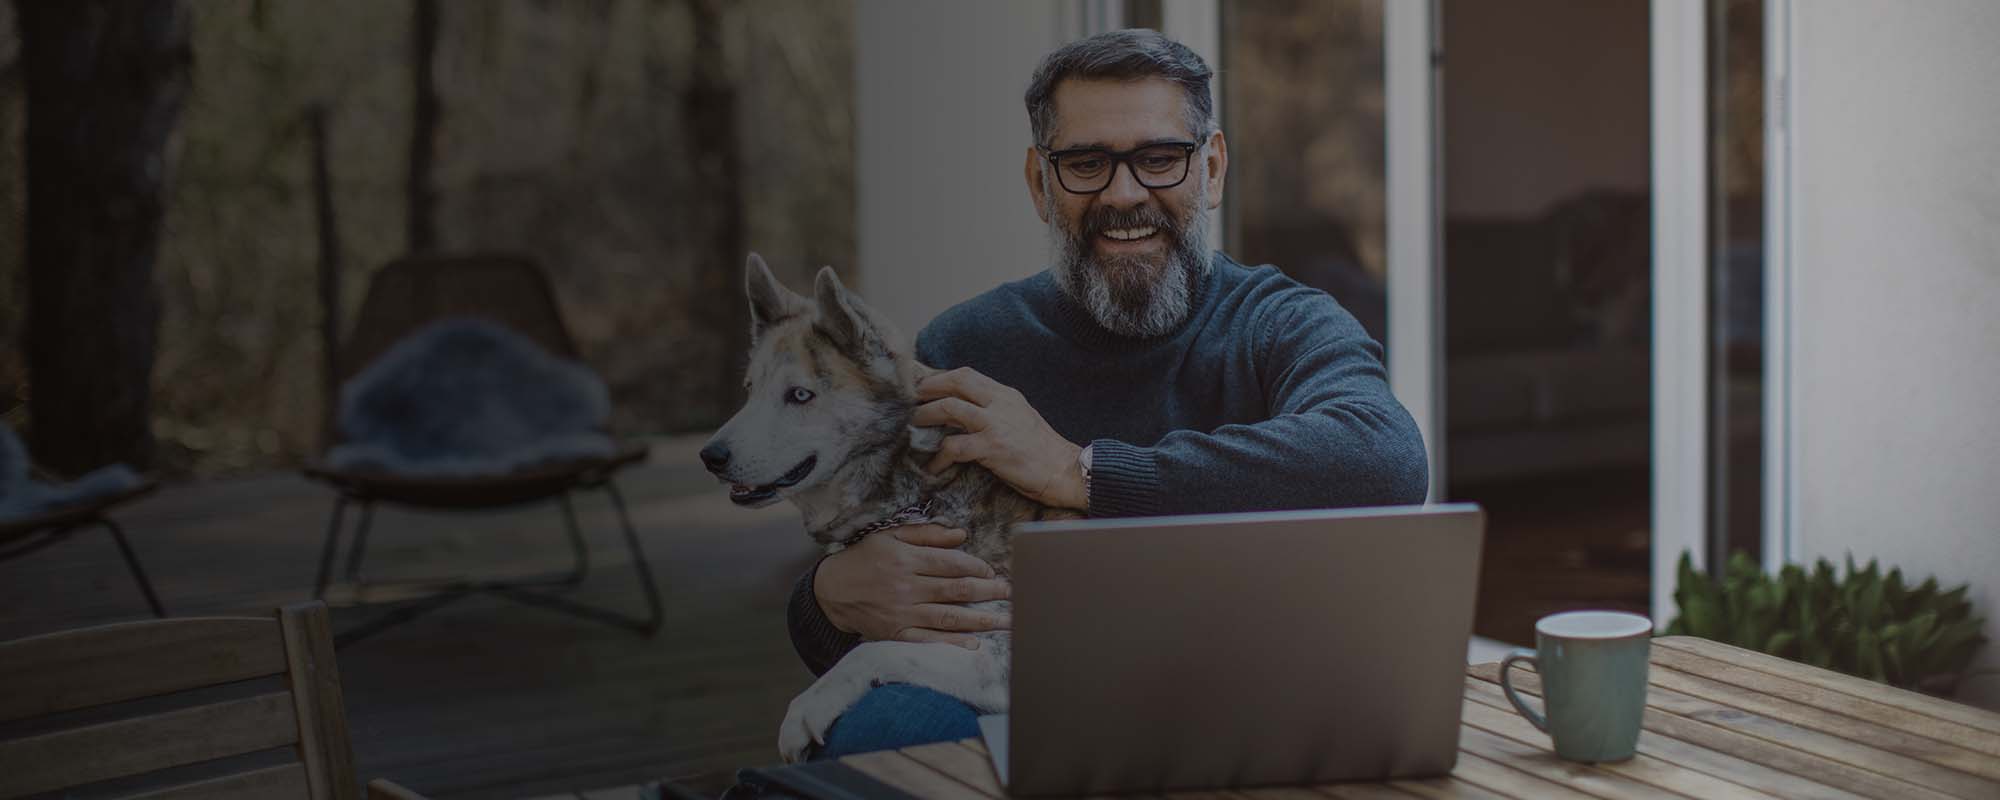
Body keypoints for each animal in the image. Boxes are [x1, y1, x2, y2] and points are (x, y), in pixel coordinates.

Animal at [704, 253, 1080, 760]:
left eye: (800, 395)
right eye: (749, 390)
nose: (711, 456)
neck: (921, 493)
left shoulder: (1004, 656)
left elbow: (873, 650)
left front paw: (807, 708)